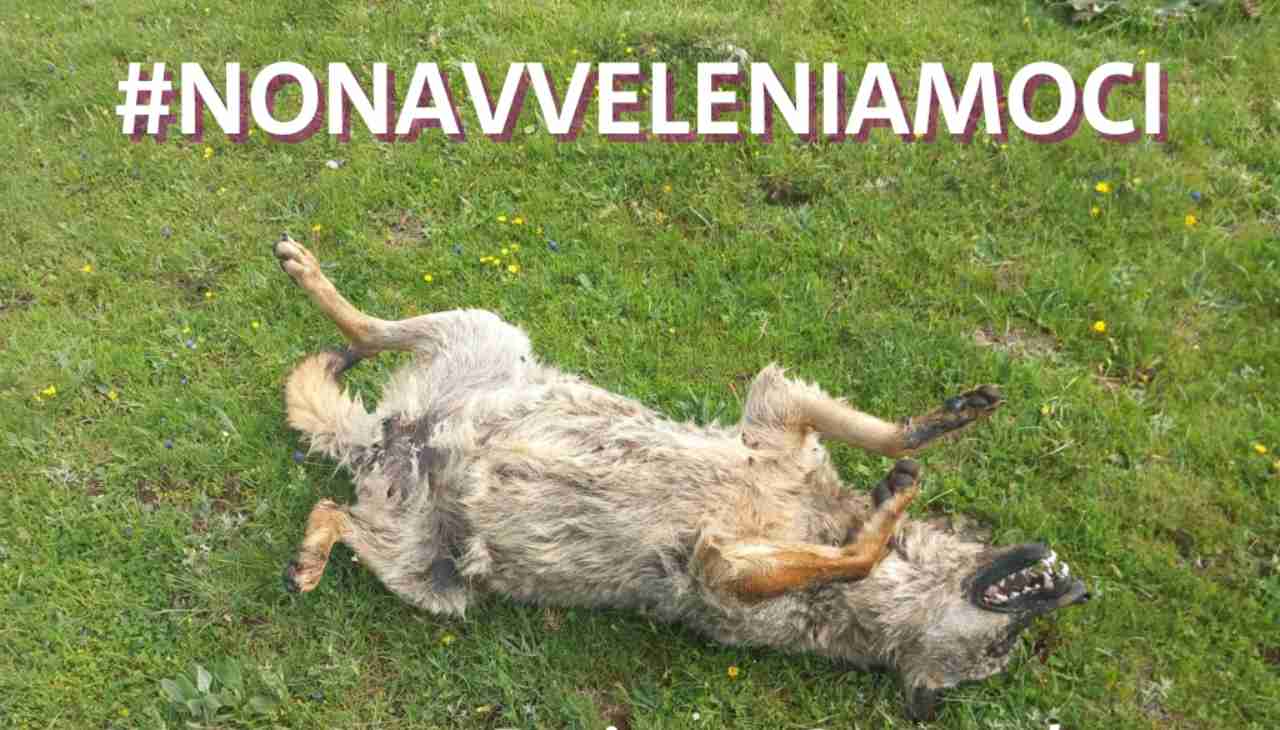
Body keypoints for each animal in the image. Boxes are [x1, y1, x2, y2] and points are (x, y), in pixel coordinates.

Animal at [271, 235, 1089, 721]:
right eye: (1008, 642)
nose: (1079, 588)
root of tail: (388, 438)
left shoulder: (721, 563)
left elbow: (842, 553)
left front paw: (882, 514)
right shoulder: (776, 416)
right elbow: (878, 445)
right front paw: (935, 433)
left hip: (431, 579)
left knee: (332, 508)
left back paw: (310, 553)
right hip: (485, 328)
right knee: (367, 328)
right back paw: (307, 271)